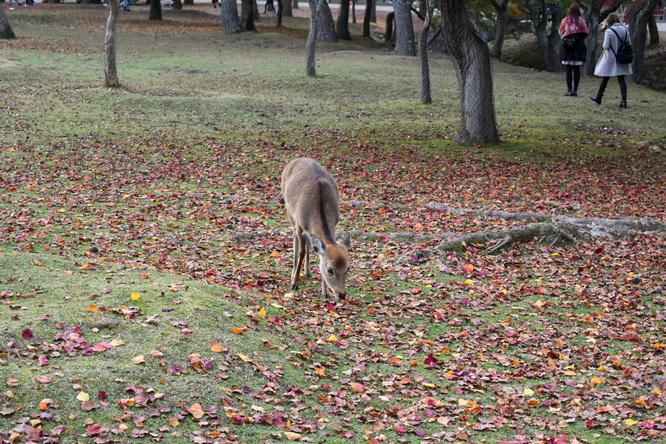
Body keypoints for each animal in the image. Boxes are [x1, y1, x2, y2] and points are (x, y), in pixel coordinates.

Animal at [280, 157, 350, 302]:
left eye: (348, 268)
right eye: (330, 269)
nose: (342, 294)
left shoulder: (334, 224)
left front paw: (325, 292)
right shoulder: (300, 226)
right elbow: (300, 252)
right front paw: (294, 283)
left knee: (309, 241)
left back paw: (308, 272)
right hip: (289, 210)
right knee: (295, 239)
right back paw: (294, 273)